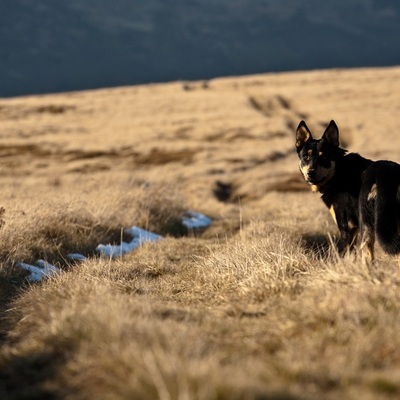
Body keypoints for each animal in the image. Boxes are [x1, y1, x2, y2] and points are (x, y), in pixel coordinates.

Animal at [296, 120, 400, 260]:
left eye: (324, 158)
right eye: (306, 156)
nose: (310, 173)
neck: (339, 172)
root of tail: (384, 175)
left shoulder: (346, 226)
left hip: (368, 225)